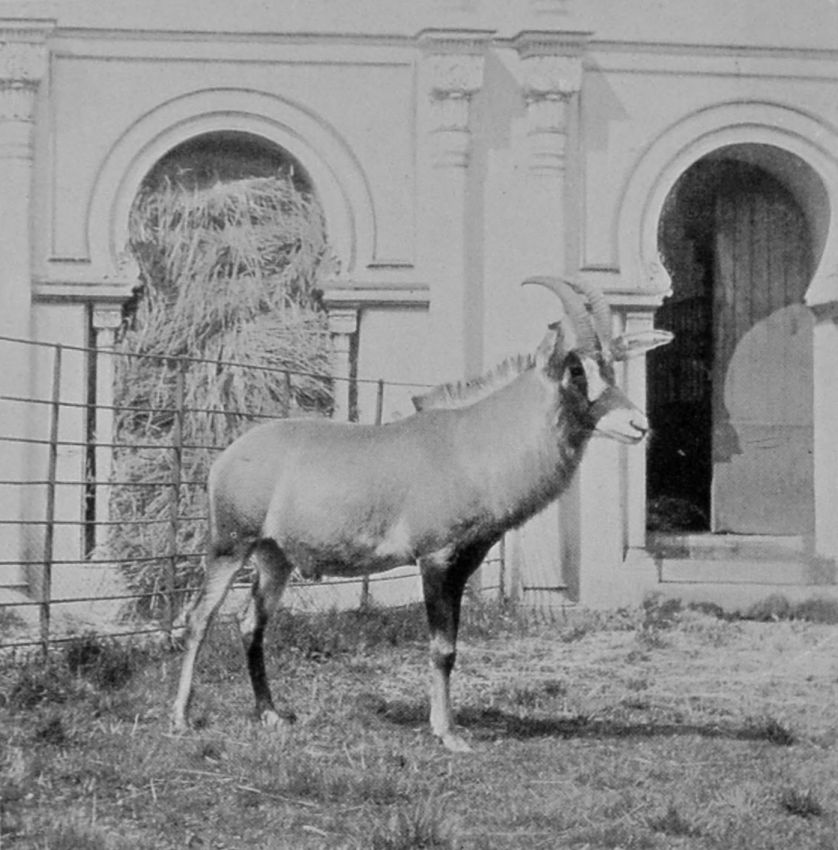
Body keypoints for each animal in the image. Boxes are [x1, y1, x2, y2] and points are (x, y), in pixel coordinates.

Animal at [171, 276, 672, 751]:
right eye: (576, 369)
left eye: (611, 364)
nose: (639, 425)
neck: (474, 443)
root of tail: (228, 456)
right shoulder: (435, 559)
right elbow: (442, 647)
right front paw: (447, 733)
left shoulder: (465, 562)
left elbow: (451, 645)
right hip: (230, 547)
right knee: (198, 618)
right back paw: (180, 718)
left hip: (275, 557)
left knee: (250, 622)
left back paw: (270, 714)